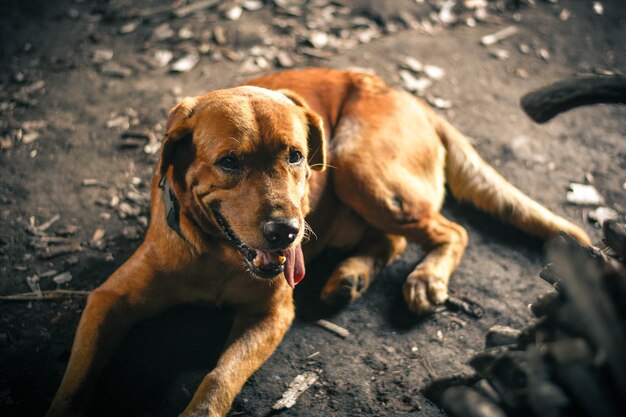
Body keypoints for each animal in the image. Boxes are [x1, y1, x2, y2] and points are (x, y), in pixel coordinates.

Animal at [46, 66, 588, 414]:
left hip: (357, 165)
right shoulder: (109, 298)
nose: (286, 233)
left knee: (449, 228)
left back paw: (424, 278)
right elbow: (73, 380)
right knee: (392, 239)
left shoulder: (271, 313)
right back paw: (351, 275)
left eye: (295, 155)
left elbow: (219, 378)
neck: (218, 255)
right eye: (229, 162)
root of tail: (408, 95)